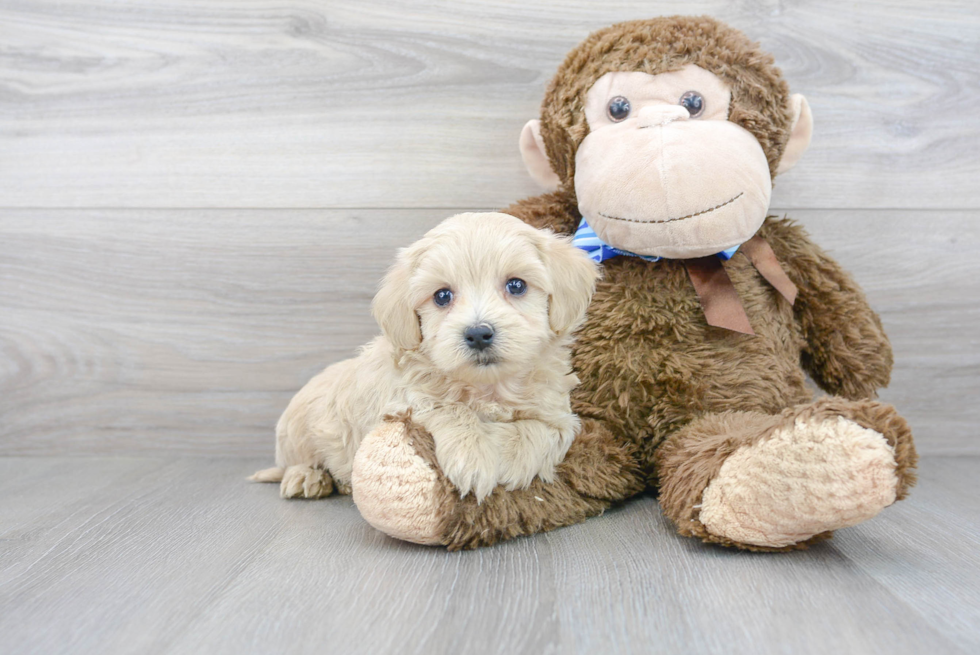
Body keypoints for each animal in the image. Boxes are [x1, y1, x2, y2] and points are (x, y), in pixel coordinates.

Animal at [251, 213, 596, 504]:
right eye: (442, 296)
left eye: (516, 285)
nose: (478, 334)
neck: (488, 387)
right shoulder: (403, 401)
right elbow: (451, 408)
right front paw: (473, 457)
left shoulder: (558, 414)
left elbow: (543, 430)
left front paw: (512, 458)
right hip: (296, 428)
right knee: (297, 461)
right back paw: (306, 477)